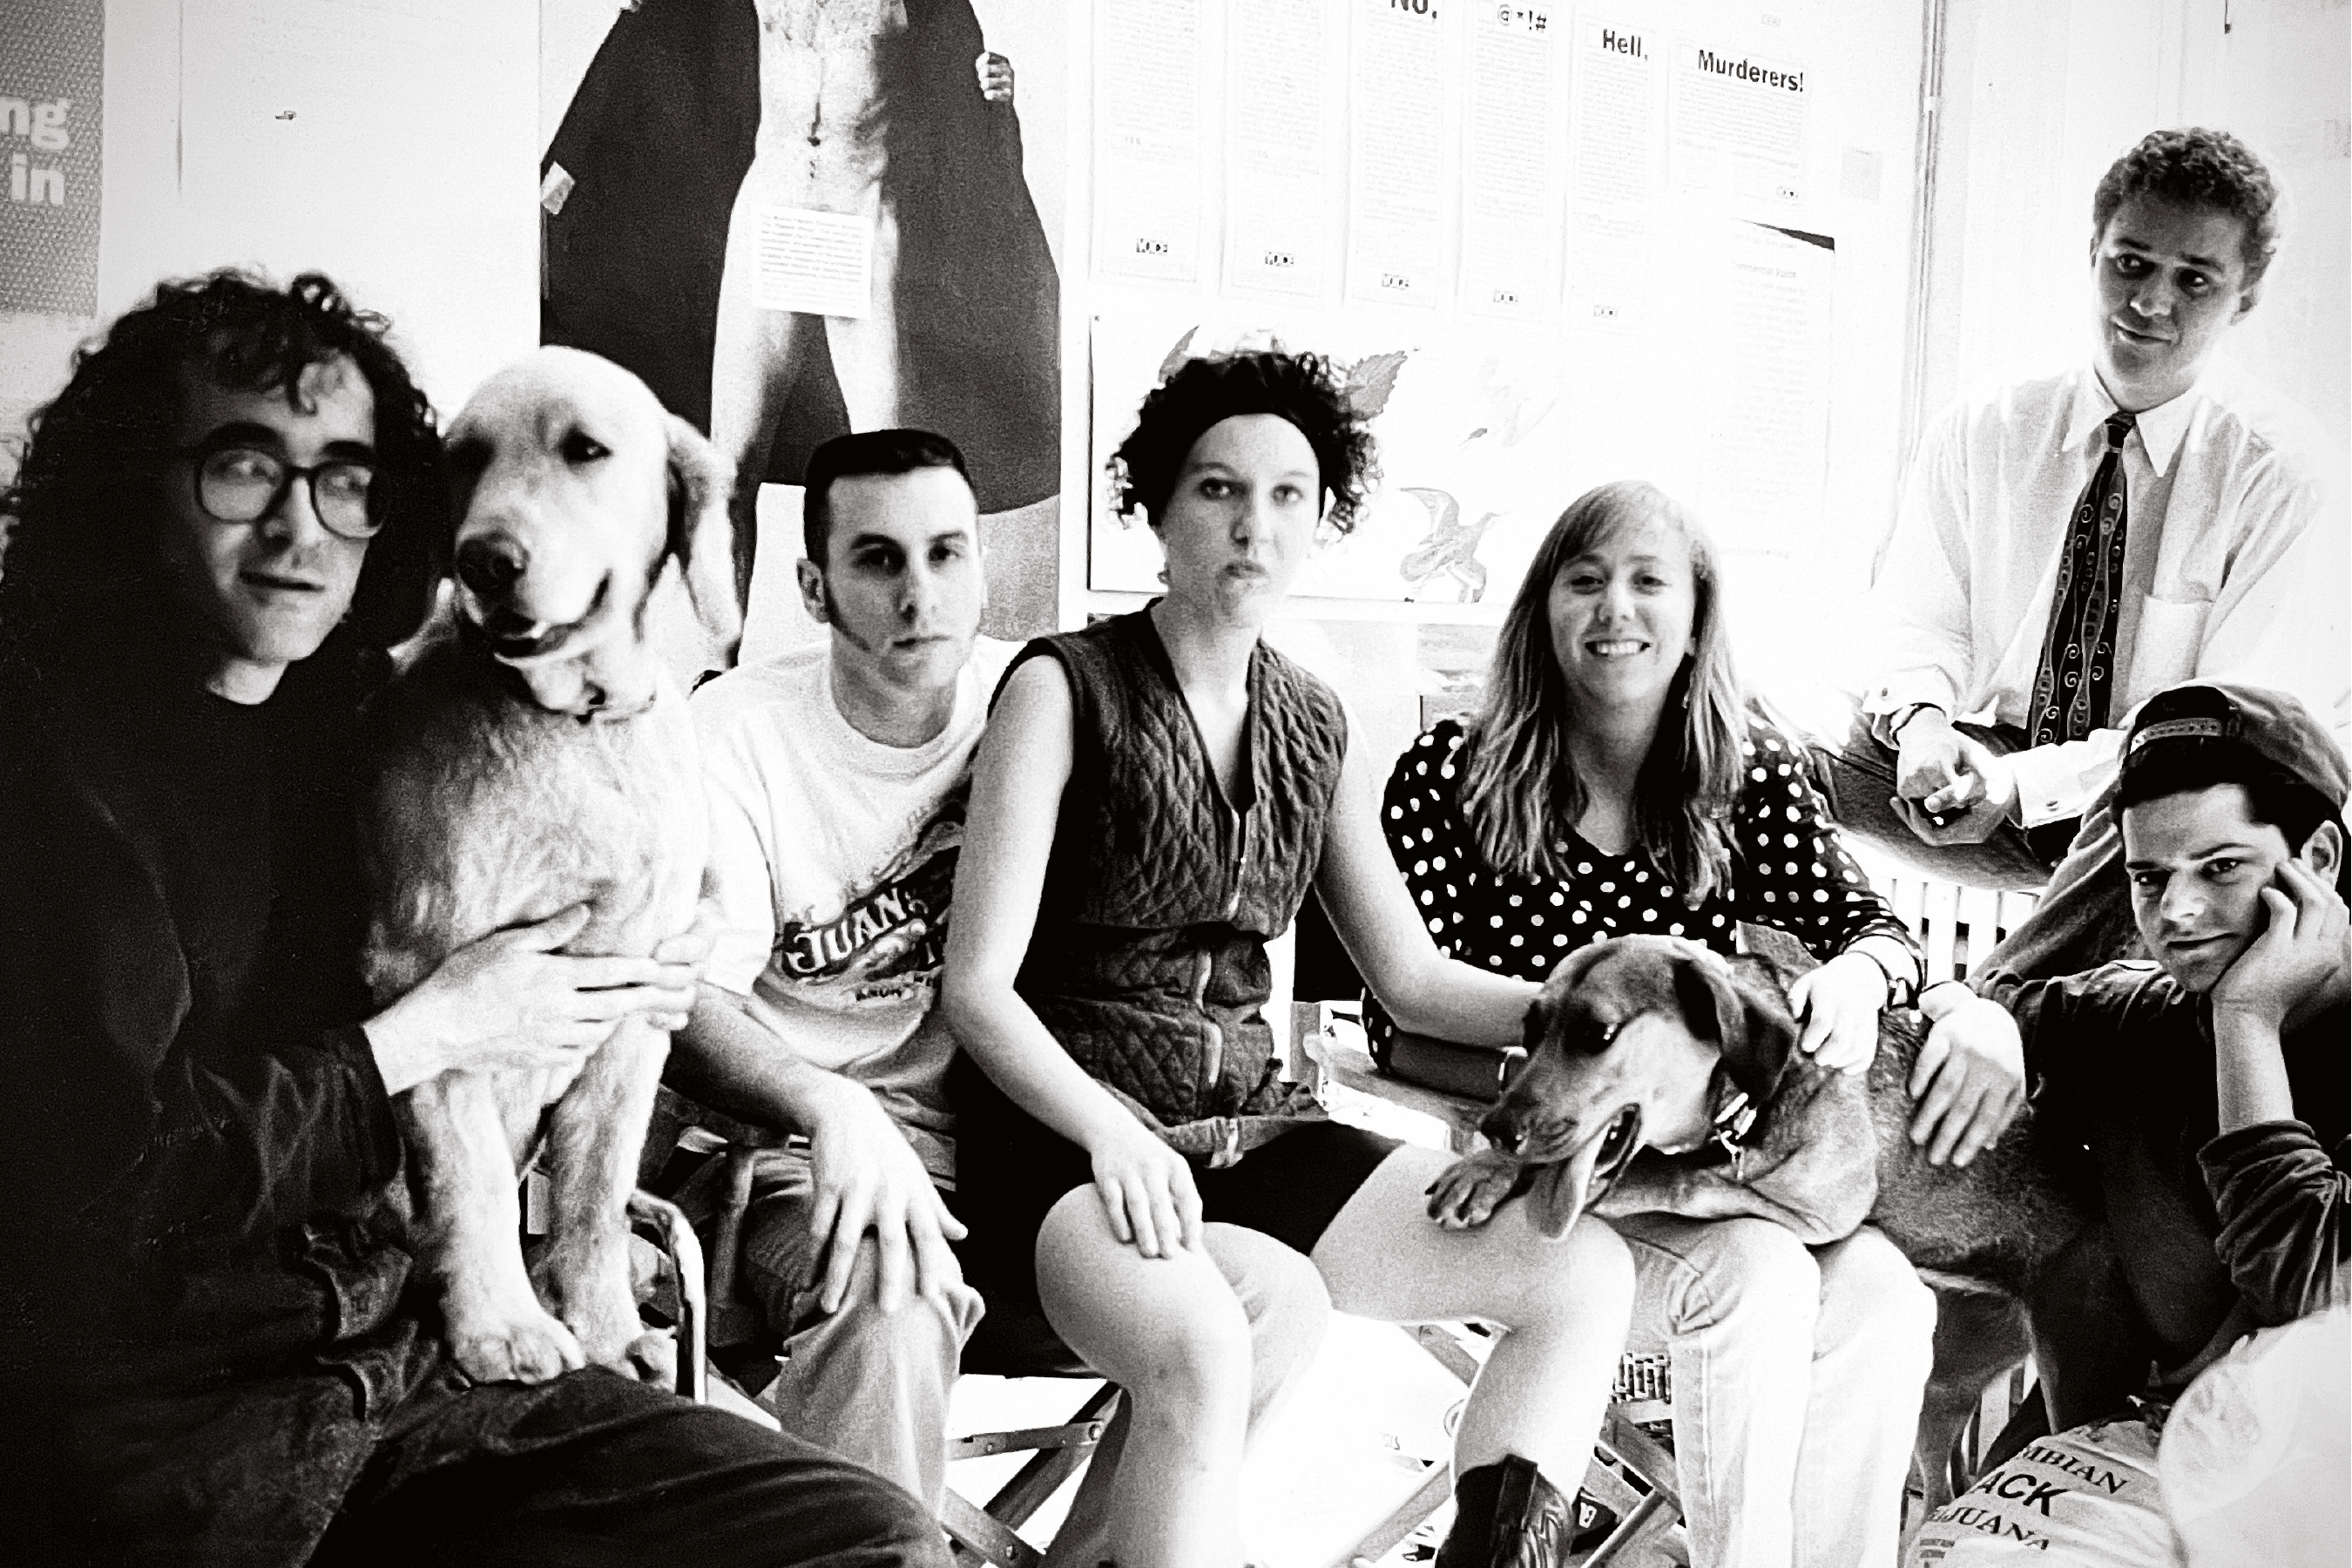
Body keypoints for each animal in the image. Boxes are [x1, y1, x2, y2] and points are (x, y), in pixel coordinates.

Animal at [357, 345, 733, 1382]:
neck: (579, 723)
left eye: (587, 450)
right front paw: (503, 1326)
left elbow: (595, 1197)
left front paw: (606, 1326)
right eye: (463, 459)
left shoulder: (638, 1010)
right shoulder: (432, 980)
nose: (486, 560)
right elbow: (475, 1175)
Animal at [1420, 940, 2088, 1504]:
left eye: (1599, 1034)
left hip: (2064, 1379)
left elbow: (1675, 1176)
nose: (1496, 1130)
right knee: (1945, 1489)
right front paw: (1488, 1170)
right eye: (1530, 1032)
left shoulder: (1823, 1207)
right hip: (1941, 1390)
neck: (1750, 1095)